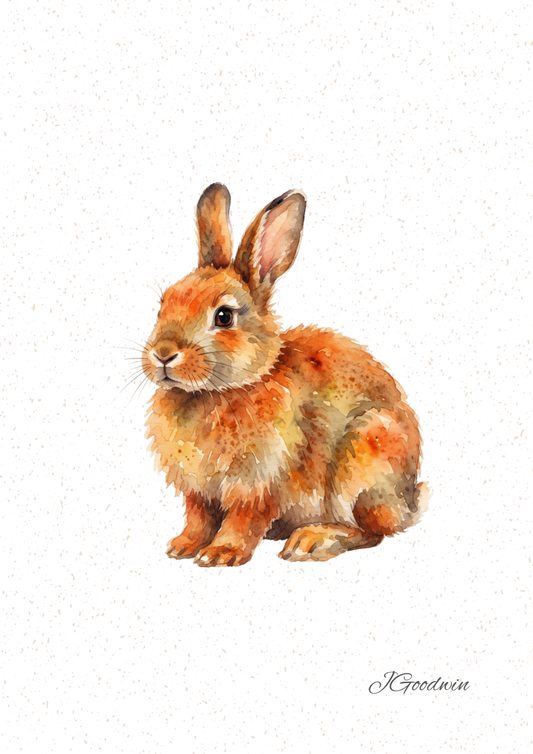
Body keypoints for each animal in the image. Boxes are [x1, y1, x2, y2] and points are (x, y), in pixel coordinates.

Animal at [142, 183, 427, 567]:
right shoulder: (197, 490)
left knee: (372, 531)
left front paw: (220, 553)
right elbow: (198, 517)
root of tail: (410, 501)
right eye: (163, 303)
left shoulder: (261, 481)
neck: (217, 391)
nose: (163, 354)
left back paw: (312, 540)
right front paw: (183, 546)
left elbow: (243, 519)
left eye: (223, 317)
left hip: (361, 463)